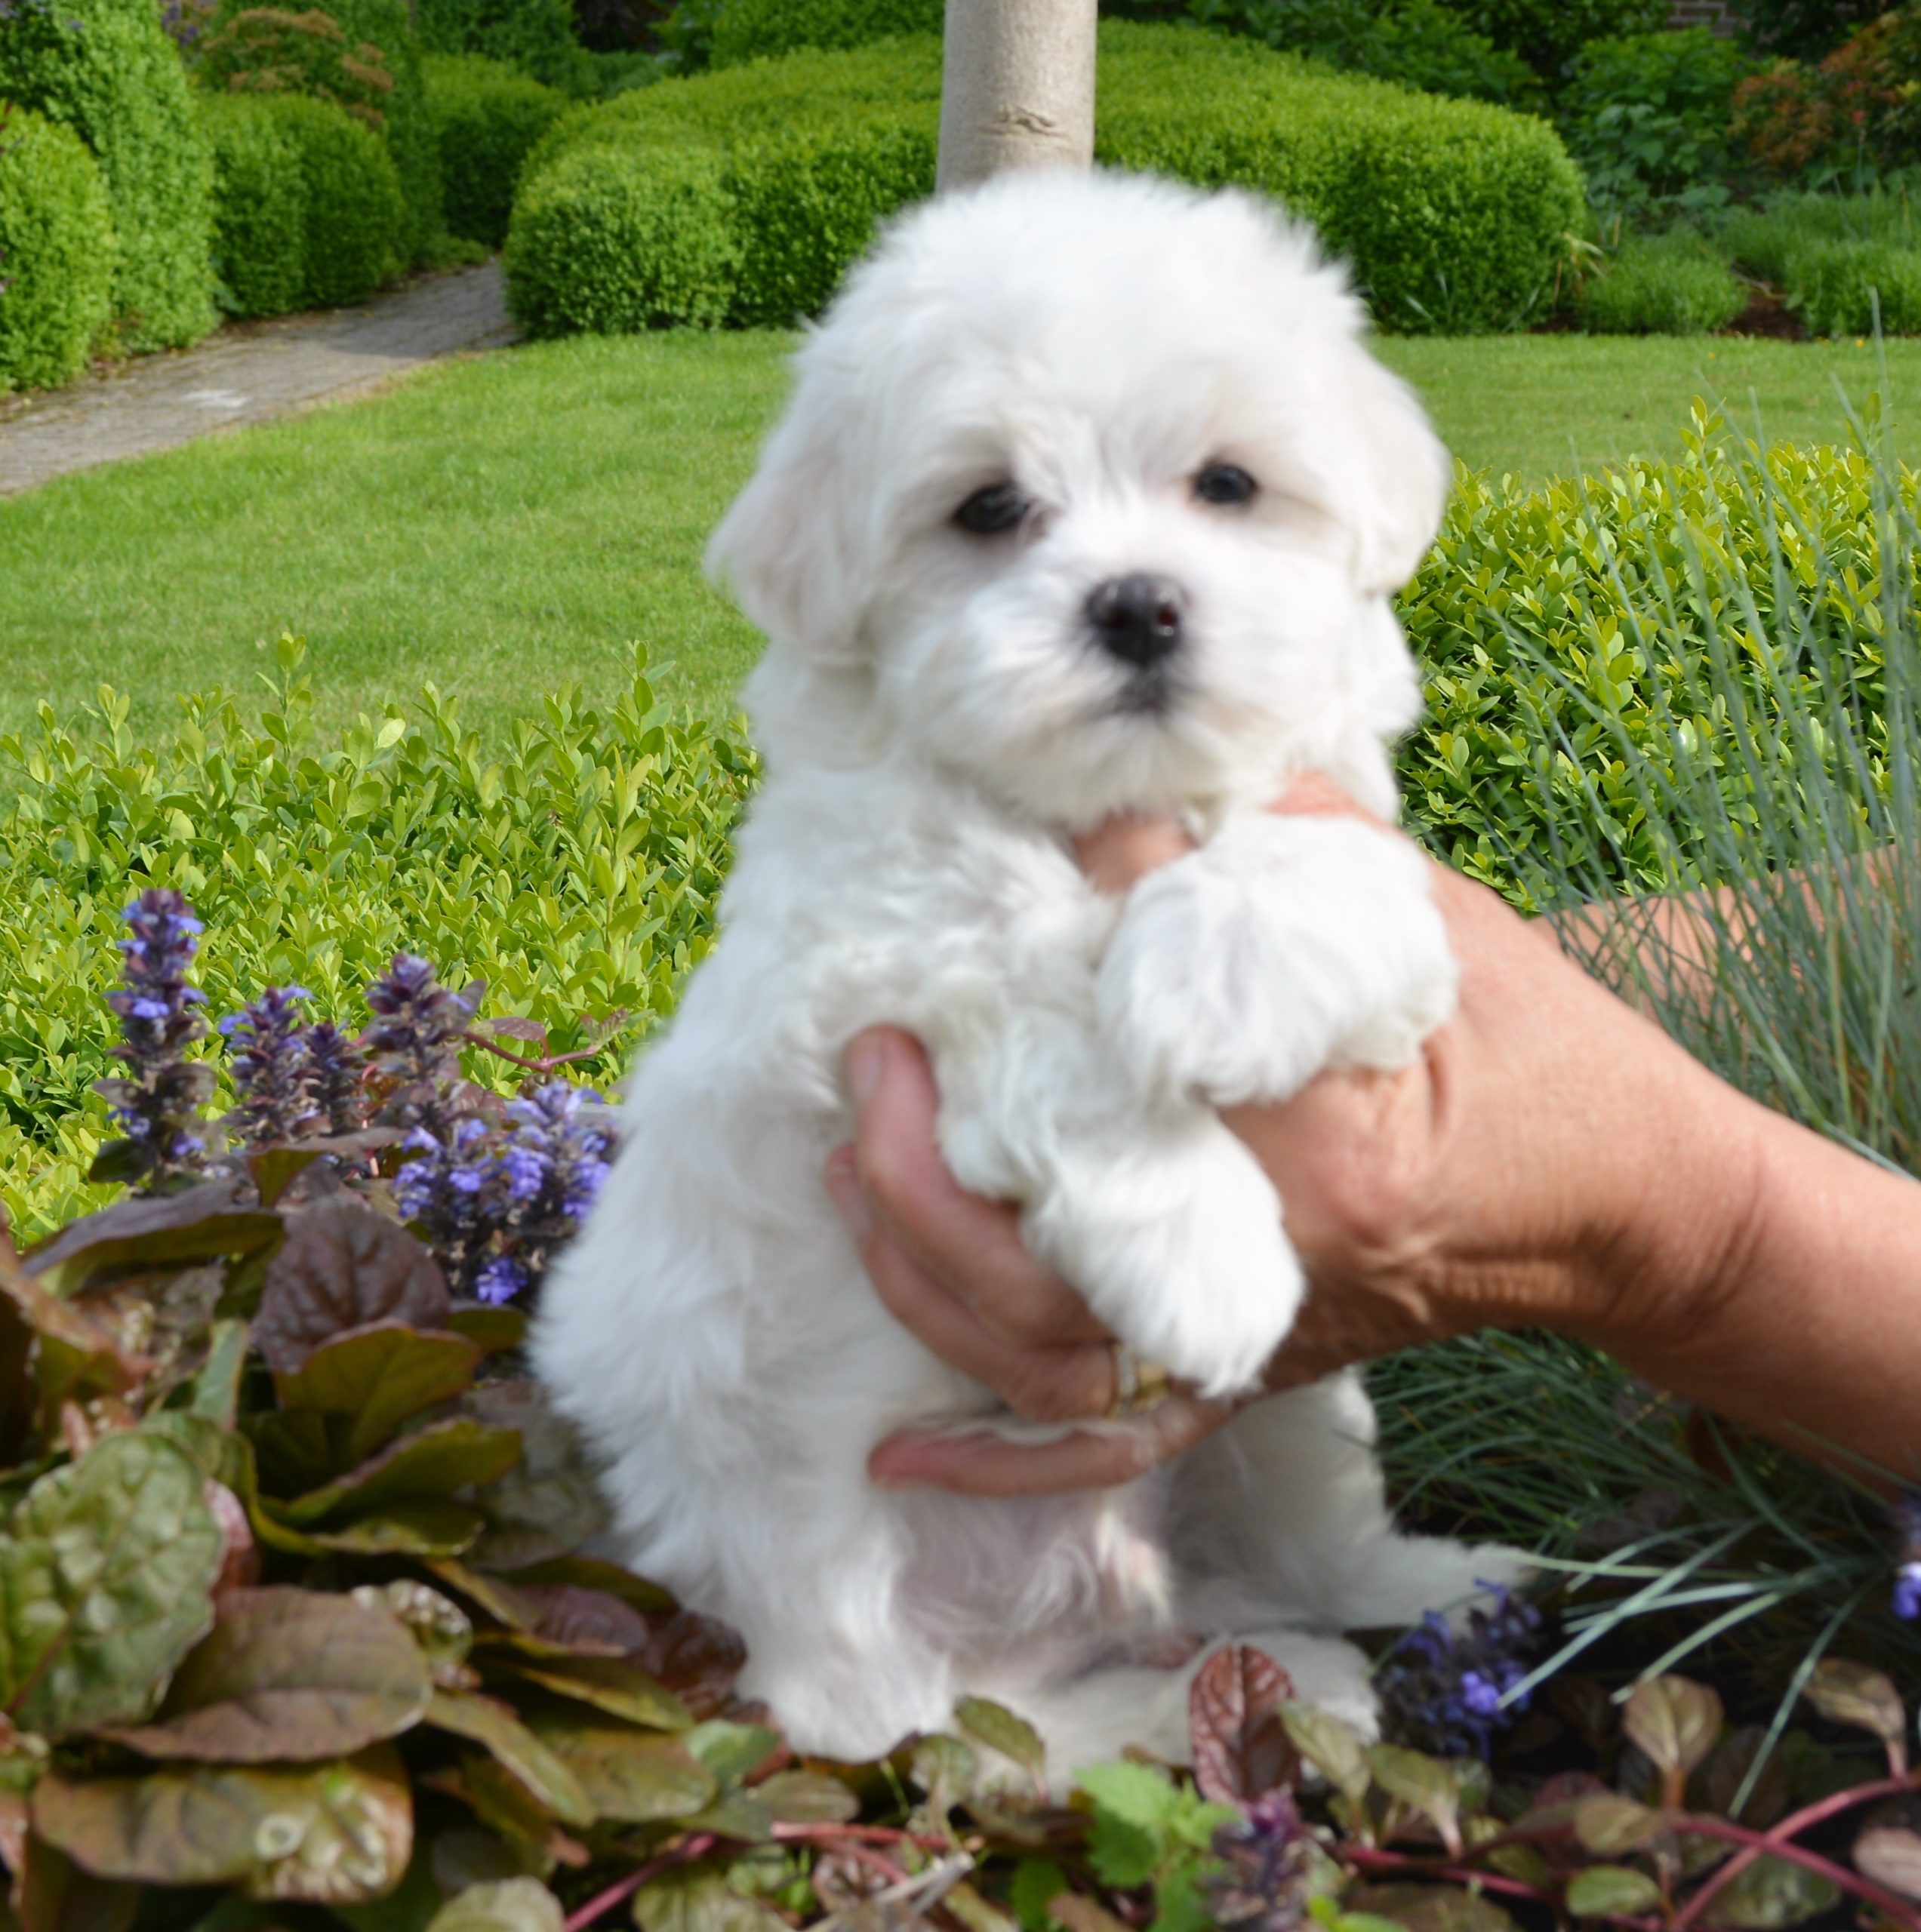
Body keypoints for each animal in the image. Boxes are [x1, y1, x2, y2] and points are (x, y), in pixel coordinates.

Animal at [533, 170, 1522, 1777]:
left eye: (1227, 485)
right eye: (990, 509)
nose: (1137, 604)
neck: (1081, 810)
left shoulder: (1342, 819)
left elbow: (1323, 864)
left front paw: (1217, 964)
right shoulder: (864, 949)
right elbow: (1030, 988)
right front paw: (1202, 1246)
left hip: (1292, 1423)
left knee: (1293, 1552)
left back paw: (1413, 1606)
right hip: (814, 1553)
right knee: (938, 1726)